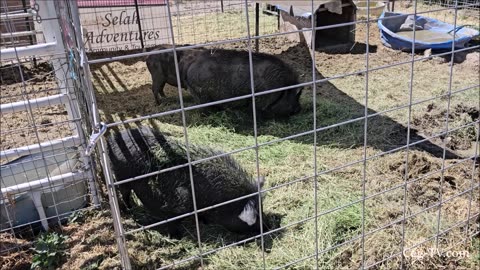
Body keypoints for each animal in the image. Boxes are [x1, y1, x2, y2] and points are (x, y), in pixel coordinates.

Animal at [106, 127, 266, 238]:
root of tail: (112, 139)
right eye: (255, 218)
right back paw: (129, 209)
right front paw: (177, 236)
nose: (267, 227)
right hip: (121, 176)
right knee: (124, 193)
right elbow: (173, 219)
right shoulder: (180, 203)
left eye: (262, 209)